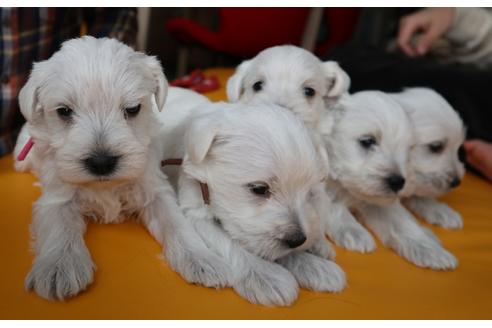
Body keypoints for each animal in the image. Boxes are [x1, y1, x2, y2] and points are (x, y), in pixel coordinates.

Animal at [13, 37, 229, 302]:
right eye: (64, 111)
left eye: (133, 109)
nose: (102, 162)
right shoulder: (56, 197)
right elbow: (60, 228)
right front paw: (60, 267)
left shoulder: (155, 190)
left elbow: (177, 223)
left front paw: (201, 258)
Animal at [159, 86, 346, 304]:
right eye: (259, 189)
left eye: (309, 193)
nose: (298, 240)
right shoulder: (196, 210)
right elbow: (232, 243)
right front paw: (266, 275)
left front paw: (317, 267)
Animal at [326, 91, 458, 270]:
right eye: (368, 141)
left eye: (408, 148)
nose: (397, 182)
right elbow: (334, 207)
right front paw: (354, 231)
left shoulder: (380, 201)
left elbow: (402, 223)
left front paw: (432, 250)